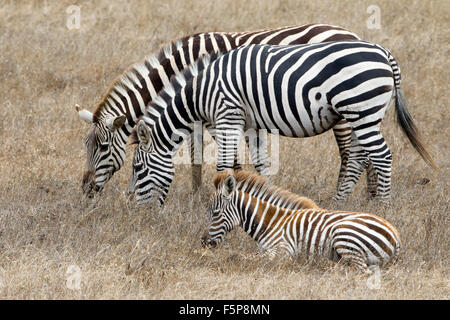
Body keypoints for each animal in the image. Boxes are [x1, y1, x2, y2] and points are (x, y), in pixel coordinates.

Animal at [74, 23, 362, 198]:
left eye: (102, 148)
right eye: (86, 147)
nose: (86, 190)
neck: (182, 66)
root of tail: (352, 35)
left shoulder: (216, 114)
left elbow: (230, 160)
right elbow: (196, 159)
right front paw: (197, 194)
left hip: (343, 113)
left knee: (350, 154)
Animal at [128, 41, 438, 205]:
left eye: (137, 168)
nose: (136, 209)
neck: (201, 93)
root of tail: (384, 53)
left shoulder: (228, 115)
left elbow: (224, 166)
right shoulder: (251, 124)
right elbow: (261, 164)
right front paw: (265, 200)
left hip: (361, 109)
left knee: (381, 156)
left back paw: (383, 207)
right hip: (361, 114)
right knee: (359, 158)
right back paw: (338, 205)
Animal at [200, 171, 400, 274]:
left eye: (215, 213)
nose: (203, 242)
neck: (271, 222)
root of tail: (396, 235)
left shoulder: (282, 250)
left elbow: (241, 256)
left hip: (343, 234)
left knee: (360, 270)